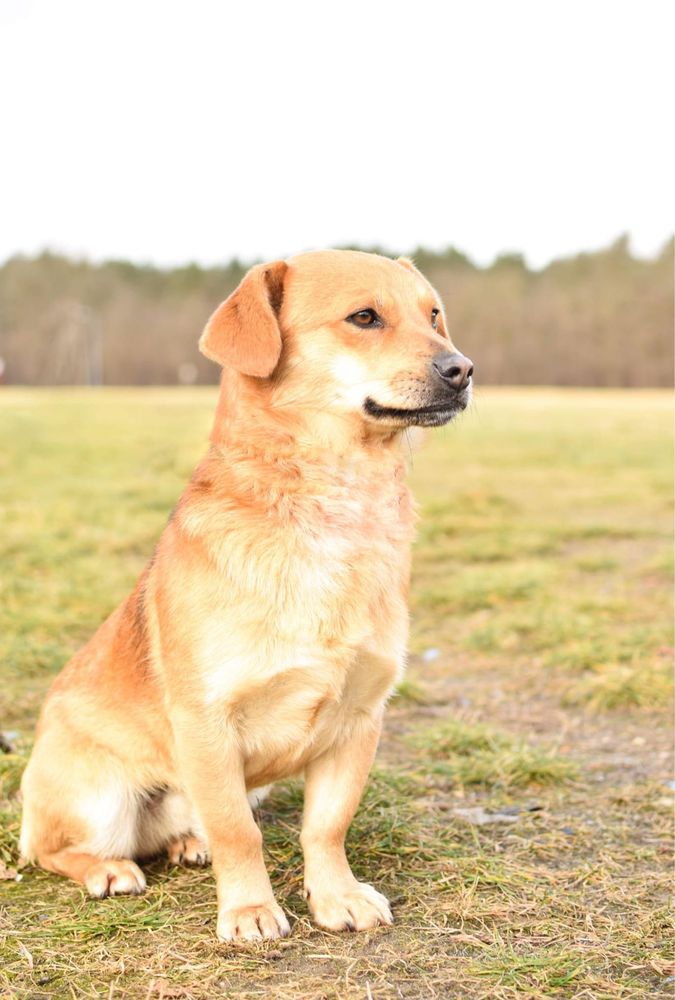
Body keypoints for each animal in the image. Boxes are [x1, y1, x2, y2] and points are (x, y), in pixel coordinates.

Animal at [21, 248, 476, 936]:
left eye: (434, 316)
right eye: (364, 317)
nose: (464, 369)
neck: (334, 509)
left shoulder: (358, 718)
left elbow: (327, 825)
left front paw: (336, 896)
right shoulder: (208, 721)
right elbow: (240, 831)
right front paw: (252, 909)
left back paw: (188, 843)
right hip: (97, 799)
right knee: (52, 850)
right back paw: (107, 868)